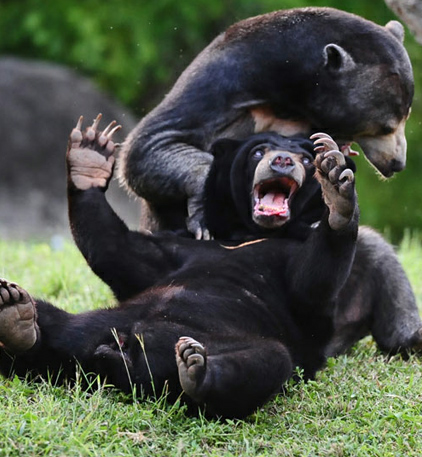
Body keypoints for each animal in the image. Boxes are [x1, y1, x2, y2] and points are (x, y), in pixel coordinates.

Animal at [117, 7, 414, 239]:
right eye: (386, 126)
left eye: (406, 116)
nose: (397, 163)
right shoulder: (225, 80)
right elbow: (153, 142)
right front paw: (203, 215)